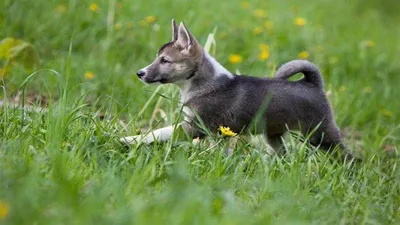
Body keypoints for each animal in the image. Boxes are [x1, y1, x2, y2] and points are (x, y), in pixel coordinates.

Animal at [121, 19, 350, 158]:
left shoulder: (194, 126)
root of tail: (312, 83)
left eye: (164, 60)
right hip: (274, 136)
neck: (200, 84)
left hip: (320, 134)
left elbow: (159, 132)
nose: (140, 73)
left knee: (346, 156)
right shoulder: (214, 132)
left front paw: (130, 139)